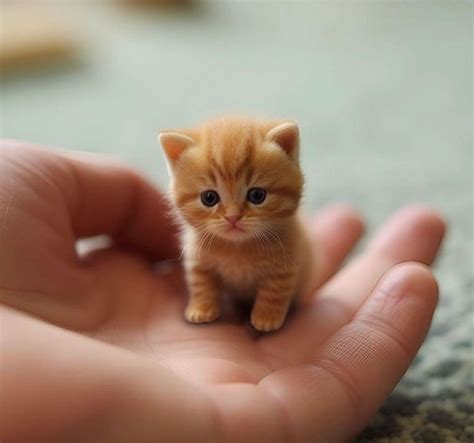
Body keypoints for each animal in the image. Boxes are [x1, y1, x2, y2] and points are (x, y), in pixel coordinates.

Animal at [159, 116, 310, 332]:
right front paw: (201, 309)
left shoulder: (286, 262)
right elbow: (201, 283)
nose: (232, 217)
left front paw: (266, 317)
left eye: (257, 195)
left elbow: (274, 290)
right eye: (209, 198)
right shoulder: (197, 256)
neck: (237, 249)